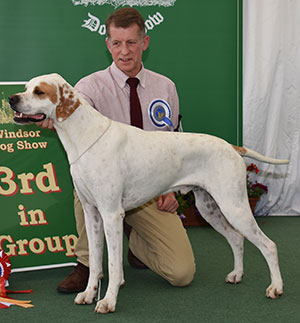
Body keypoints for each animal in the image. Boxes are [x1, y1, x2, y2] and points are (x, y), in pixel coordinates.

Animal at [8, 73, 288, 314]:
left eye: (39, 91)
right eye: (26, 86)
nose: (12, 98)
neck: (84, 137)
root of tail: (230, 146)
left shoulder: (111, 214)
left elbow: (112, 265)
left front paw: (108, 301)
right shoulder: (92, 214)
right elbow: (96, 262)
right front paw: (89, 294)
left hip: (235, 206)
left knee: (269, 245)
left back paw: (276, 287)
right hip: (210, 209)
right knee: (237, 239)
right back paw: (236, 275)